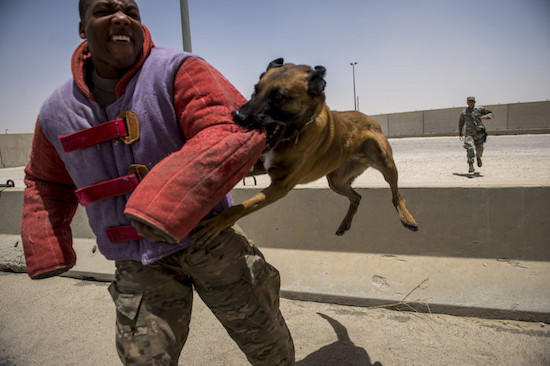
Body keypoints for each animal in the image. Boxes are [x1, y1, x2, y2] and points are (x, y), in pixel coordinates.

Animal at [196, 58, 420, 243]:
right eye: (255, 90)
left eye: (278, 97)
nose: (237, 116)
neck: (293, 135)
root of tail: (369, 119)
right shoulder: (259, 164)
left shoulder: (280, 187)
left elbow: (244, 206)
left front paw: (218, 222)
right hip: (337, 181)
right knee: (357, 197)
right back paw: (345, 224)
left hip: (385, 162)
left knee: (396, 194)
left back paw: (407, 218)